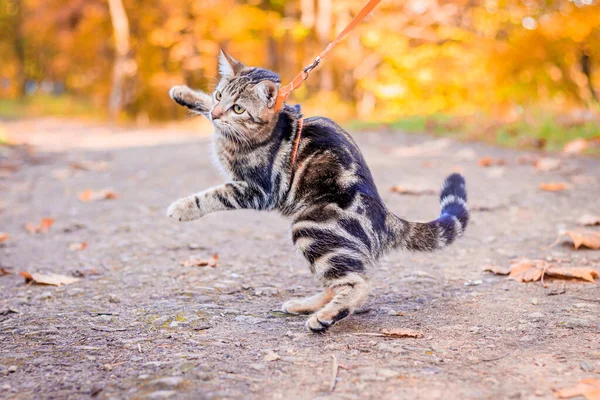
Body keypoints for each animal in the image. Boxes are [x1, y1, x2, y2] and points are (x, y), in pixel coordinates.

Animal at [168, 49, 468, 332]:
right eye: (219, 95)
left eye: (239, 109)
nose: (218, 114)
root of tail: (384, 215)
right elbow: (204, 104)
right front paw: (184, 94)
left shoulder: (257, 189)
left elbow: (212, 195)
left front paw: (182, 208)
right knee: (335, 283)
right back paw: (305, 305)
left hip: (311, 229)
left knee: (357, 283)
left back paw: (324, 318)